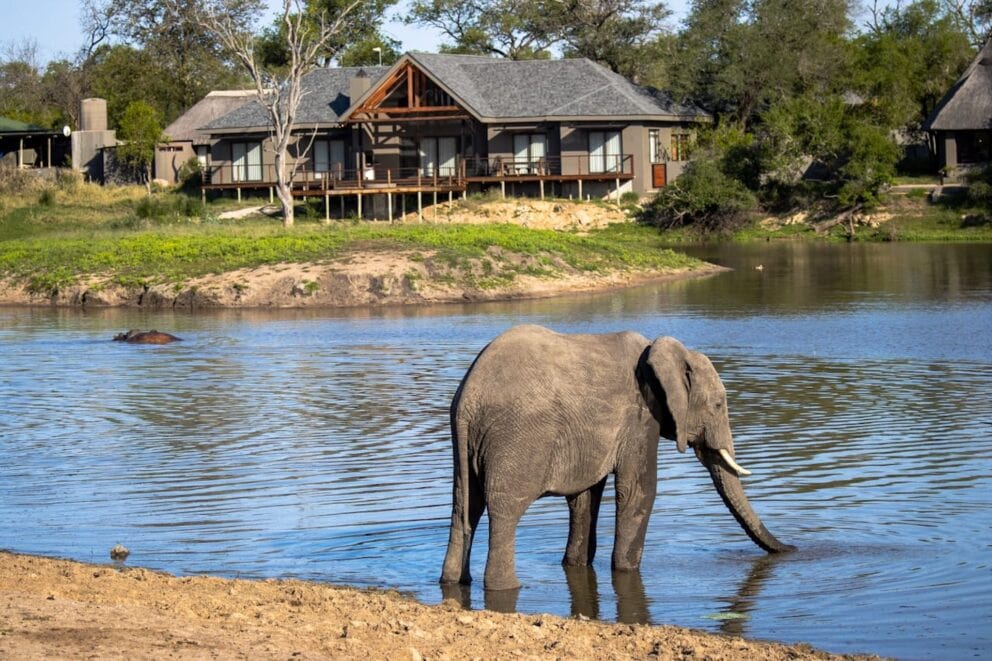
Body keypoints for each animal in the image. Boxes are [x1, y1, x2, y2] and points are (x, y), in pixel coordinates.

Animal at [440, 324, 794, 592]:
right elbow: (639, 490)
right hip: (517, 438)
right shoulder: (640, 417)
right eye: (719, 405)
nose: (794, 550)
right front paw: (626, 571)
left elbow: (584, 497)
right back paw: (506, 587)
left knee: (464, 508)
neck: (661, 350)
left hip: (467, 443)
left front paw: (576, 565)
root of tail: (470, 394)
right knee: (505, 511)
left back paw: (454, 582)